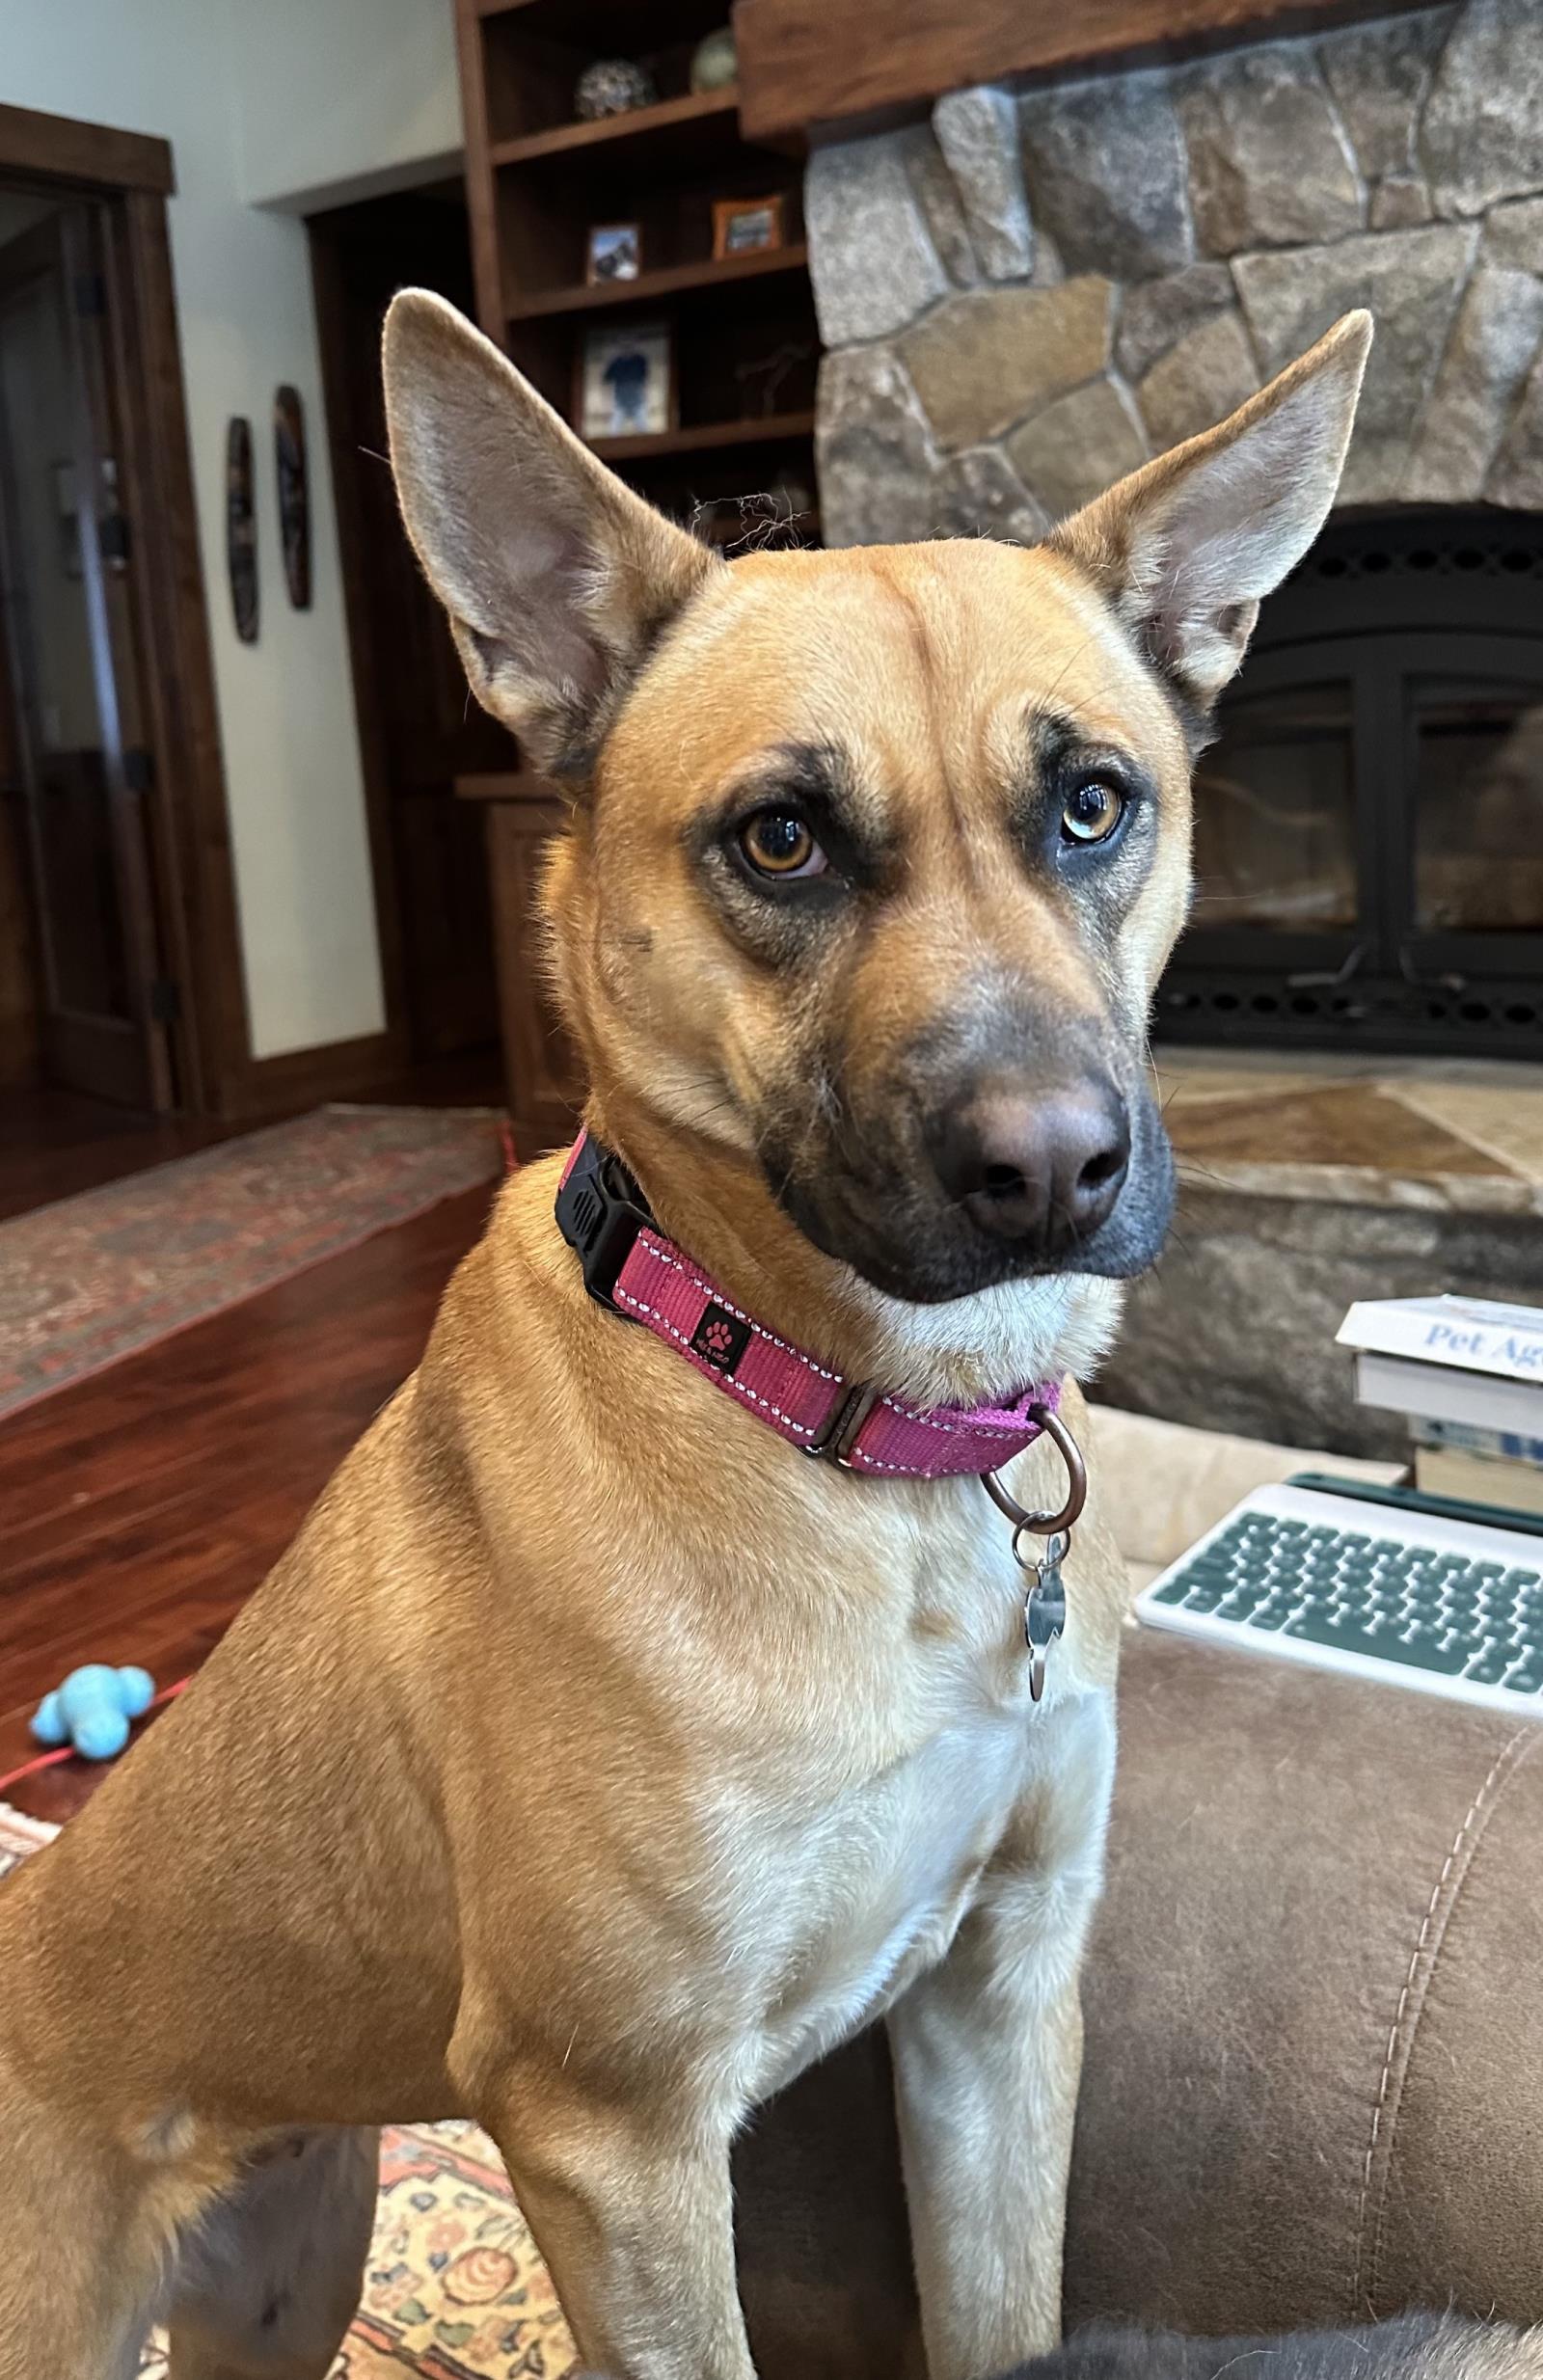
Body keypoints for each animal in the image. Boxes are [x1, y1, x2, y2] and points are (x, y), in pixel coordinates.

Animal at [0, 283, 1371, 2380]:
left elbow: (1006, 2308)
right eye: (782, 840)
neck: (837, 1419)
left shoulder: (999, 1998)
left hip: (286, 2272)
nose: (1054, 1170)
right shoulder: (612, 2136)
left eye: (1091, 804)